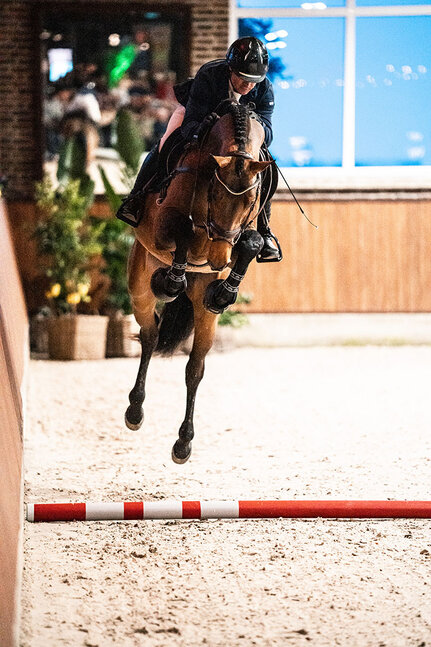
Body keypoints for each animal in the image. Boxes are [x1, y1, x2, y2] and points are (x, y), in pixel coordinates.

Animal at [125, 100, 272, 463]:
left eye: (250, 201)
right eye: (214, 195)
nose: (218, 259)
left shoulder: (244, 234)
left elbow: (252, 243)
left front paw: (224, 293)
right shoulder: (164, 227)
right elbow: (184, 230)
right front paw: (171, 281)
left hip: (205, 317)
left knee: (195, 367)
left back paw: (183, 443)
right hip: (139, 284)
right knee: (150, 335)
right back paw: (134, 412)